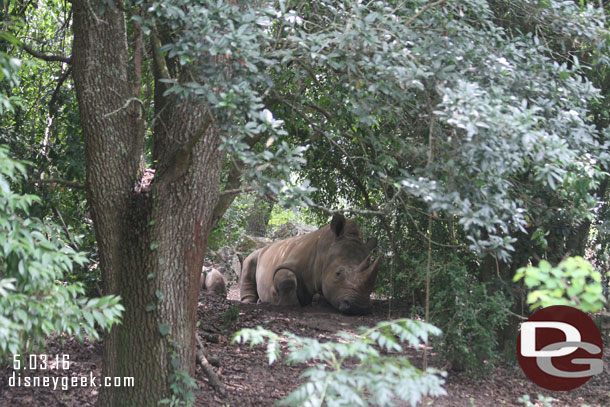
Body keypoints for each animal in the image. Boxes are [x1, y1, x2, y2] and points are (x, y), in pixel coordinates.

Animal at [239, 214, 378, 316]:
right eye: (338, 273)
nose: (360, 308)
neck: (325, 251)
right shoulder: (287, 263)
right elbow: (286, 279)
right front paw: (291, 304)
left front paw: (316, 301)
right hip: (256, 253)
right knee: (249, 261)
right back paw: (251, 302)